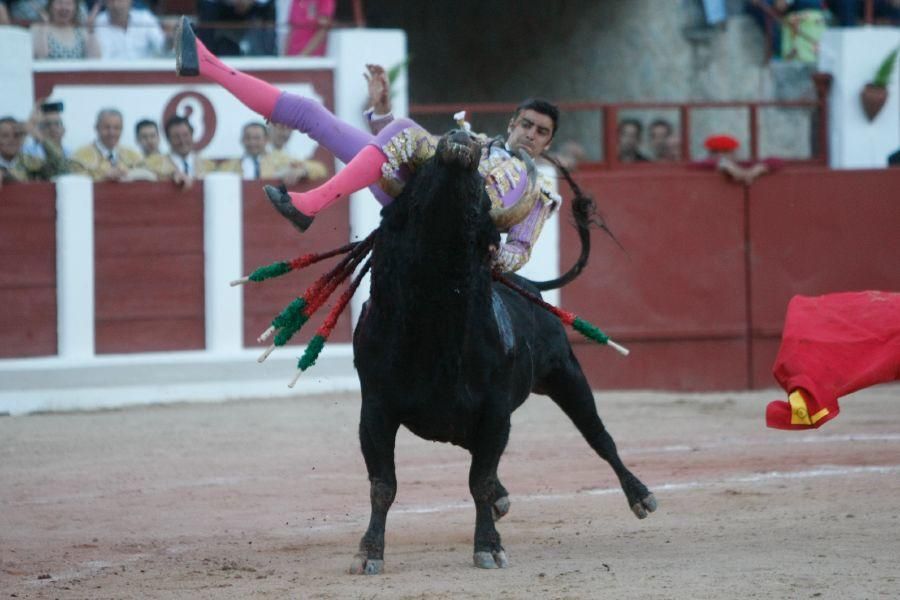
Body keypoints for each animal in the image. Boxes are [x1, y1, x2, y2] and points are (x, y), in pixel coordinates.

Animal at [350, 130, 652, 572]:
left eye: (482, 194)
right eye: (418, 183)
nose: (459, 140)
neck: (433, 324)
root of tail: (529, 285)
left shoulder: (494, 413)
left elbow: (480, 481)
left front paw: (489, 547)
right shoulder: (375, 409)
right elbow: (382, 484)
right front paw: (369, 552)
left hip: (565, 374)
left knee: (599, 436)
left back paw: (640, 494)